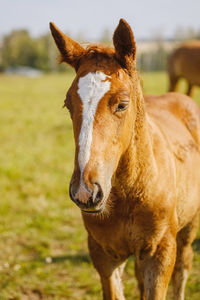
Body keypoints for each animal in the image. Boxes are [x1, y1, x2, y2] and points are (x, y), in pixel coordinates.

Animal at [49, 19, 200, 300]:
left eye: (122, 104)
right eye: (67, 105)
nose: (86, 191)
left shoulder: (160, 253)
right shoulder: (104, 254)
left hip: (188, 229)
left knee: (183, 269)